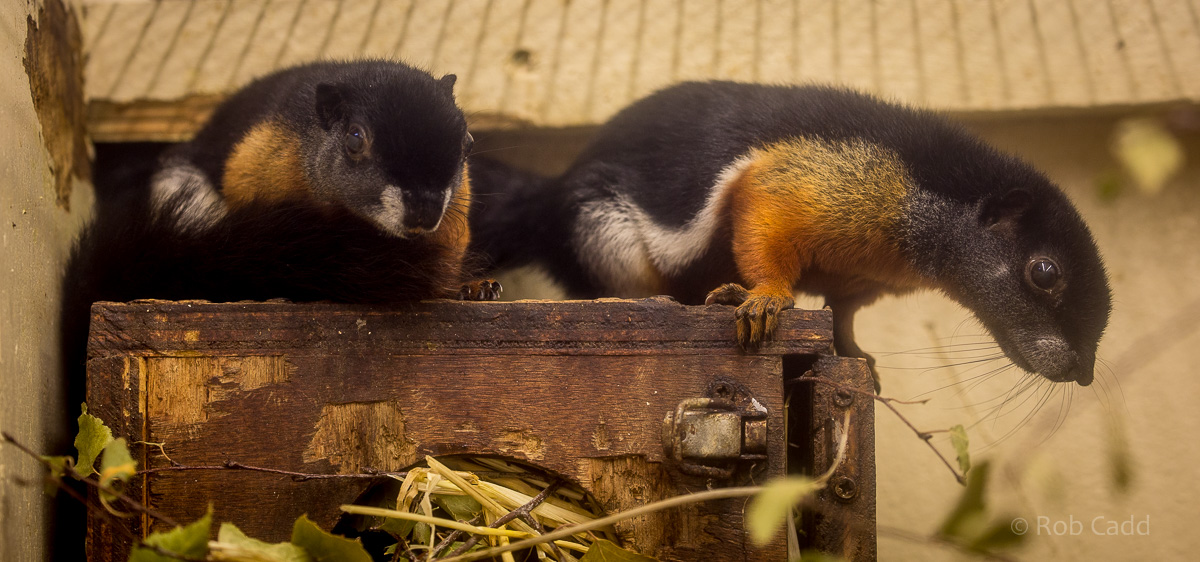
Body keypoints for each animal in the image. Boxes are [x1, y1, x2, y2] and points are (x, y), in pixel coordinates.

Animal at [469, 82, 1112, 388]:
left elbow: (843, 314)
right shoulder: (797, 183)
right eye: (1044, 272)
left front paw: (854, 355)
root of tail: (547, 202)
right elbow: (762, 234)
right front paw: (767, 301)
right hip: (604, 237)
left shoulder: (857, 277)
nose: (1083, 373)